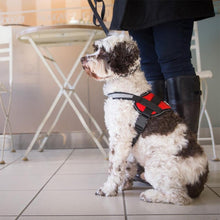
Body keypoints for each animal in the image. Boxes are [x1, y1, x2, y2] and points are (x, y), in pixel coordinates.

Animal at [80, 34, 208, 205]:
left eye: (104, 53)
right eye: (96, 49)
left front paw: (108, 189)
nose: (82, 59)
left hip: (156, 166)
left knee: (179, 196)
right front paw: (124, 184)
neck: (126, 88)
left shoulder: (120, 137)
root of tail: (200, 179)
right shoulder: (129, 140)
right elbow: (127, 165)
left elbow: (114, 166)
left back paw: (150, 195)